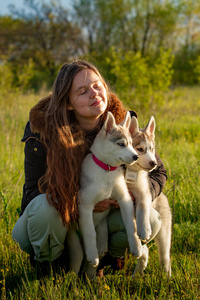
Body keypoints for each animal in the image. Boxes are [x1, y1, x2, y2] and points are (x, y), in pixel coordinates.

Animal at [68, 111, 143, 276]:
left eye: (131, 143)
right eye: (121, 144)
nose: (136, 157)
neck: (107, 170)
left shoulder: (125, 199)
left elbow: (131, 225)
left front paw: (136, 247)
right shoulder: (85, 206)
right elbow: (90, 233)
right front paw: (92, 255)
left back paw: (90, 276)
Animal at [127, 115, 171, 276]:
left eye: (152, 149)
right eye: (140, 149)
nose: (154, 162)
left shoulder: (144, 193)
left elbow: (143, 210)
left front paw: (144, 229)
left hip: (164, 234)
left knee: (165, 258)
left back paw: (167, 277)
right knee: (144, 251)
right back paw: (137, 272)